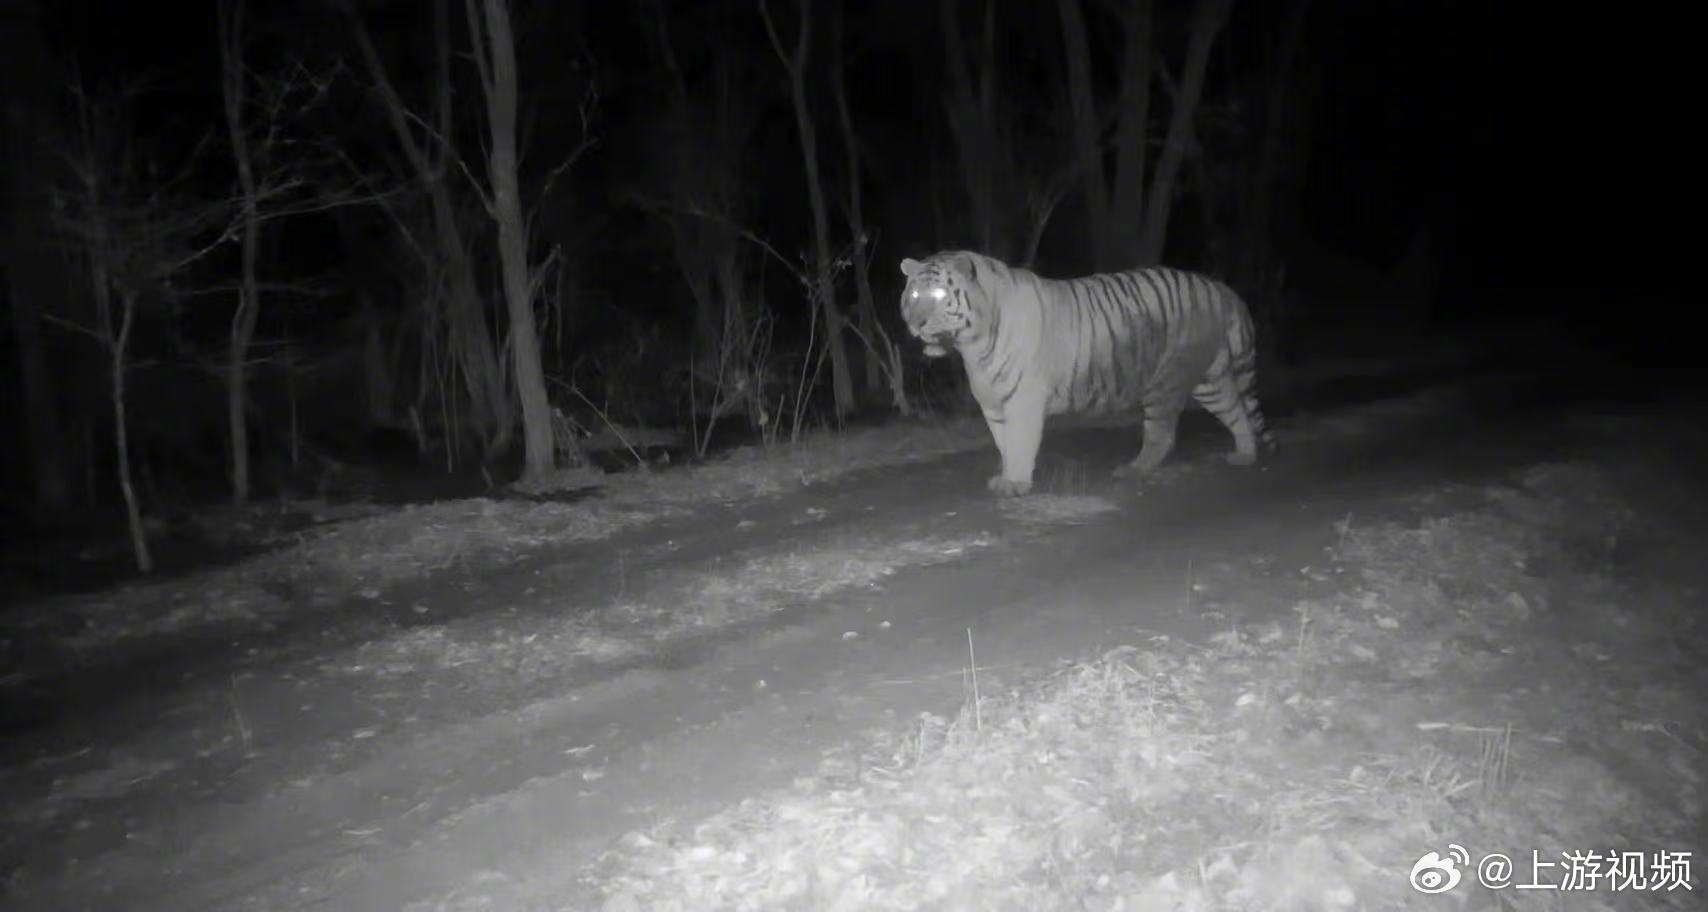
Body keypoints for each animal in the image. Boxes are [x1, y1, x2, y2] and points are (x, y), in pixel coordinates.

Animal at [900, 250, 1276, 496]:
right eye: (913, 294)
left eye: (938, 294)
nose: (916, 324)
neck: (972, 345)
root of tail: (1220, 289)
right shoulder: (993, 403)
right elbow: (1002, 443)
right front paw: (1006, 475)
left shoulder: (1023, 399)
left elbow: (1019, 443)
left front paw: (1016, 483)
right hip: (1210, 378)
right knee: (1237, 411)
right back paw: (1245, 456)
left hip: (1166, 379)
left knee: (1162, 433)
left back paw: (1134, 469)